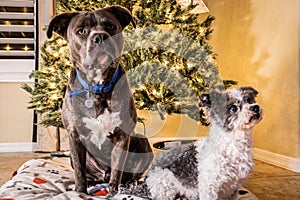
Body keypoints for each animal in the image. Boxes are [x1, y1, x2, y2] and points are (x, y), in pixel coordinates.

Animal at [47, 5, 155, 195]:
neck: (97, 87)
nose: (100, 36)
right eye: (81, 31)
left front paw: (113, 192)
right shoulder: (75, 136)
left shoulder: (122, 135)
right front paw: (80, 192)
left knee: (131, 174)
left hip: (142, 140)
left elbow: (118, 169)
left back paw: (132, 184)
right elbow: (80, 171)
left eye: (110, 26)